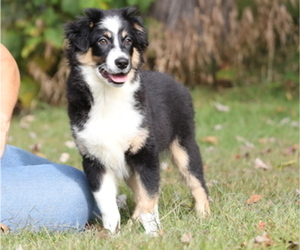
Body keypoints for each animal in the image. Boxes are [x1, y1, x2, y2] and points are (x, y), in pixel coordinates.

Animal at [65, 6, 211, 235]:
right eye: (102, 41)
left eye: (128, 41)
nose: (122, 62)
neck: (108, 96)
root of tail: (177, 83)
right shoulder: (93, 158)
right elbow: (107, 202)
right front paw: (111, 232)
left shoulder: (145, 153)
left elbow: (149, 196)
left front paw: (153, 233)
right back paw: (133, 222)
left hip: (184, 144)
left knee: (196, 180)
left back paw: (204, 216)